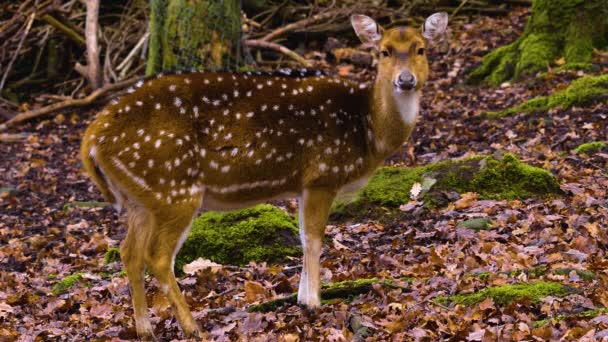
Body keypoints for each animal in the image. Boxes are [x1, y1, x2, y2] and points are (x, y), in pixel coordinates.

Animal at [79, 12, 446, 340]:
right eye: (383, 51)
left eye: (420, 49)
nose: (405, 80)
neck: (367, 130)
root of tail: (92, 139)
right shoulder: (323, 175)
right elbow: (315, 240)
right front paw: (314, 303)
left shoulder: (303, 186)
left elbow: (303, 238)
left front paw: (301, 298)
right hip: (173, 189)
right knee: (157, 256)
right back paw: (192, 326)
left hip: (141, 198)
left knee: (129, 252)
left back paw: (145, 329)